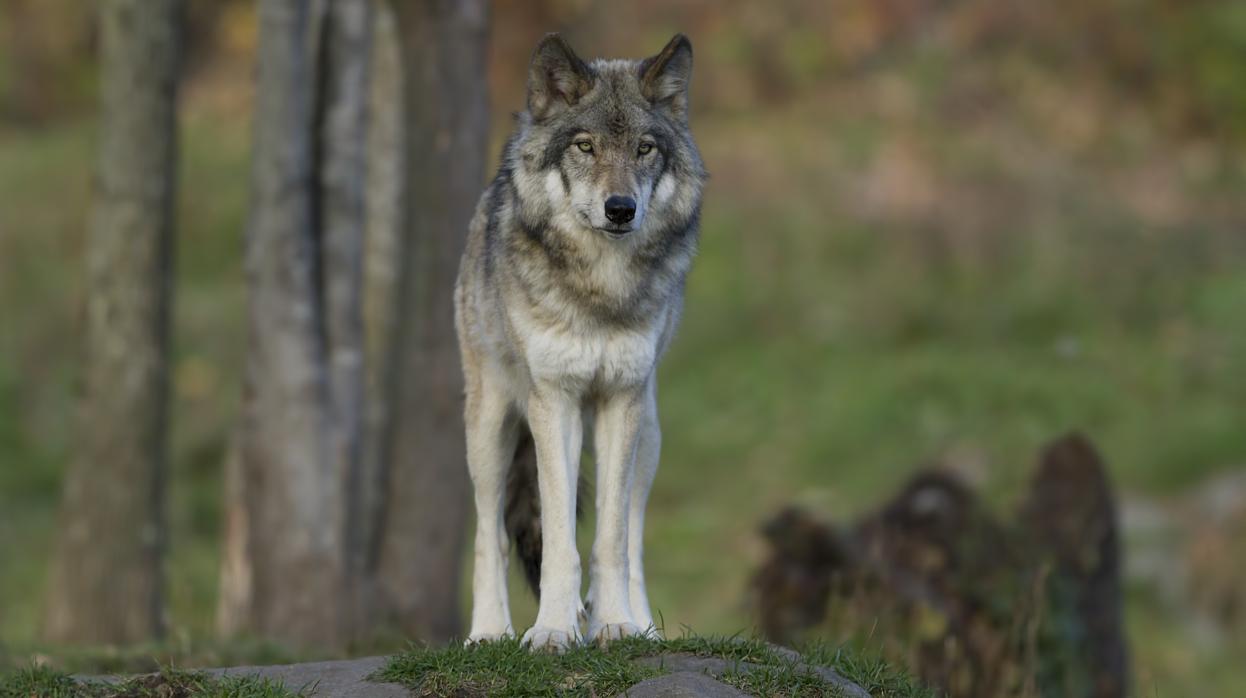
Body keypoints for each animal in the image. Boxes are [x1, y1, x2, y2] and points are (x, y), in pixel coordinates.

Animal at [456, 32, 707, 648]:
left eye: (644, 149)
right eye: (586, 147)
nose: (621, 209)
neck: (601, 289)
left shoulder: (621, 401)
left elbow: (611, 539)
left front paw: (614, 623)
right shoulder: (554, 401)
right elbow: (558, 542)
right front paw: (550, 630)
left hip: (650, 432)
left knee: (632, 535)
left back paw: (638, 624)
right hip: (490, 430)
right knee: (491, 534)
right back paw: (490, 631)